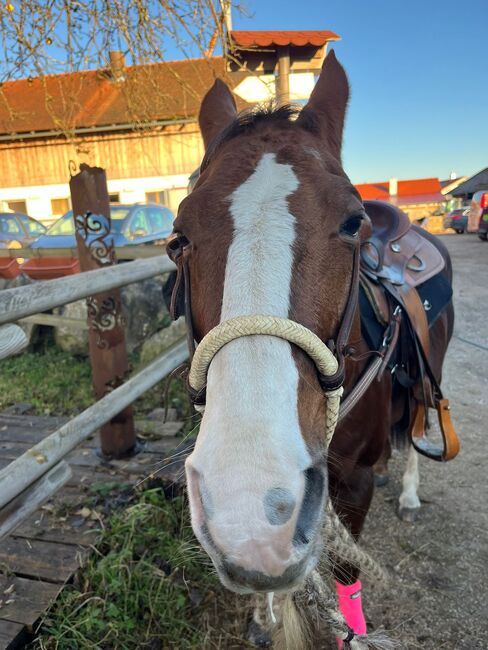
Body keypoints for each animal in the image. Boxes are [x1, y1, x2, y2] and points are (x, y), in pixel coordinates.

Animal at [168, 49, 454, 644]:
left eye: (352, 223)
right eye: (177, 239)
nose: (249, 506)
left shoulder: (353, 486)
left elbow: (347, 575)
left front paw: (351, 630)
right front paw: (265, 614)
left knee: (417, 428)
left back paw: (409, 491)